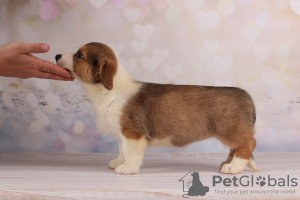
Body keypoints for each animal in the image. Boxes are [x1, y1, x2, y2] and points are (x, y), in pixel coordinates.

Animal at [55, 42, 258, 175]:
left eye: (79, 55)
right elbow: (121, 150)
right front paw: (118, 162)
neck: (106, 90)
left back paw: (233, 167)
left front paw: (128, 168)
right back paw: (228, 162)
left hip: (230, 131)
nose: (56, 55)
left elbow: (130, 152)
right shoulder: (122, 134)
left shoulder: (132, 133)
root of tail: (247, 97)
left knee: (247, 145)